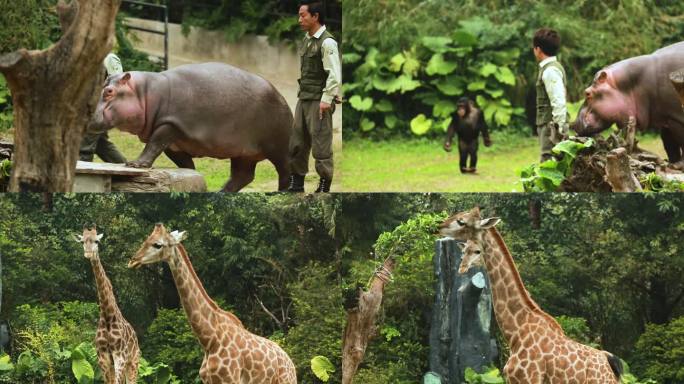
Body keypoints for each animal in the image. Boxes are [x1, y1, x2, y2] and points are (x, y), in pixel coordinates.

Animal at [73, 225, 140, 384]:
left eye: (97, 241)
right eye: (82, 241)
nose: (88, 253)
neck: (107, 315)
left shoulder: (120, 357)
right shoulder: (103, 359)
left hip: (133, 362)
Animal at [127, 224, 298, 382]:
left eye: (157, 244)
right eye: (146, 239)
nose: (133, 261)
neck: (210, 339)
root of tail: (291, 363)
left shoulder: (230, 379)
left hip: (287, 380)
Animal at [438, 208, 624, 382]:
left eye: (461, 221)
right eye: (464, 252)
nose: (439, 226)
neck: (516, 331)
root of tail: (610, 363)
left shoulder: (527, 378)